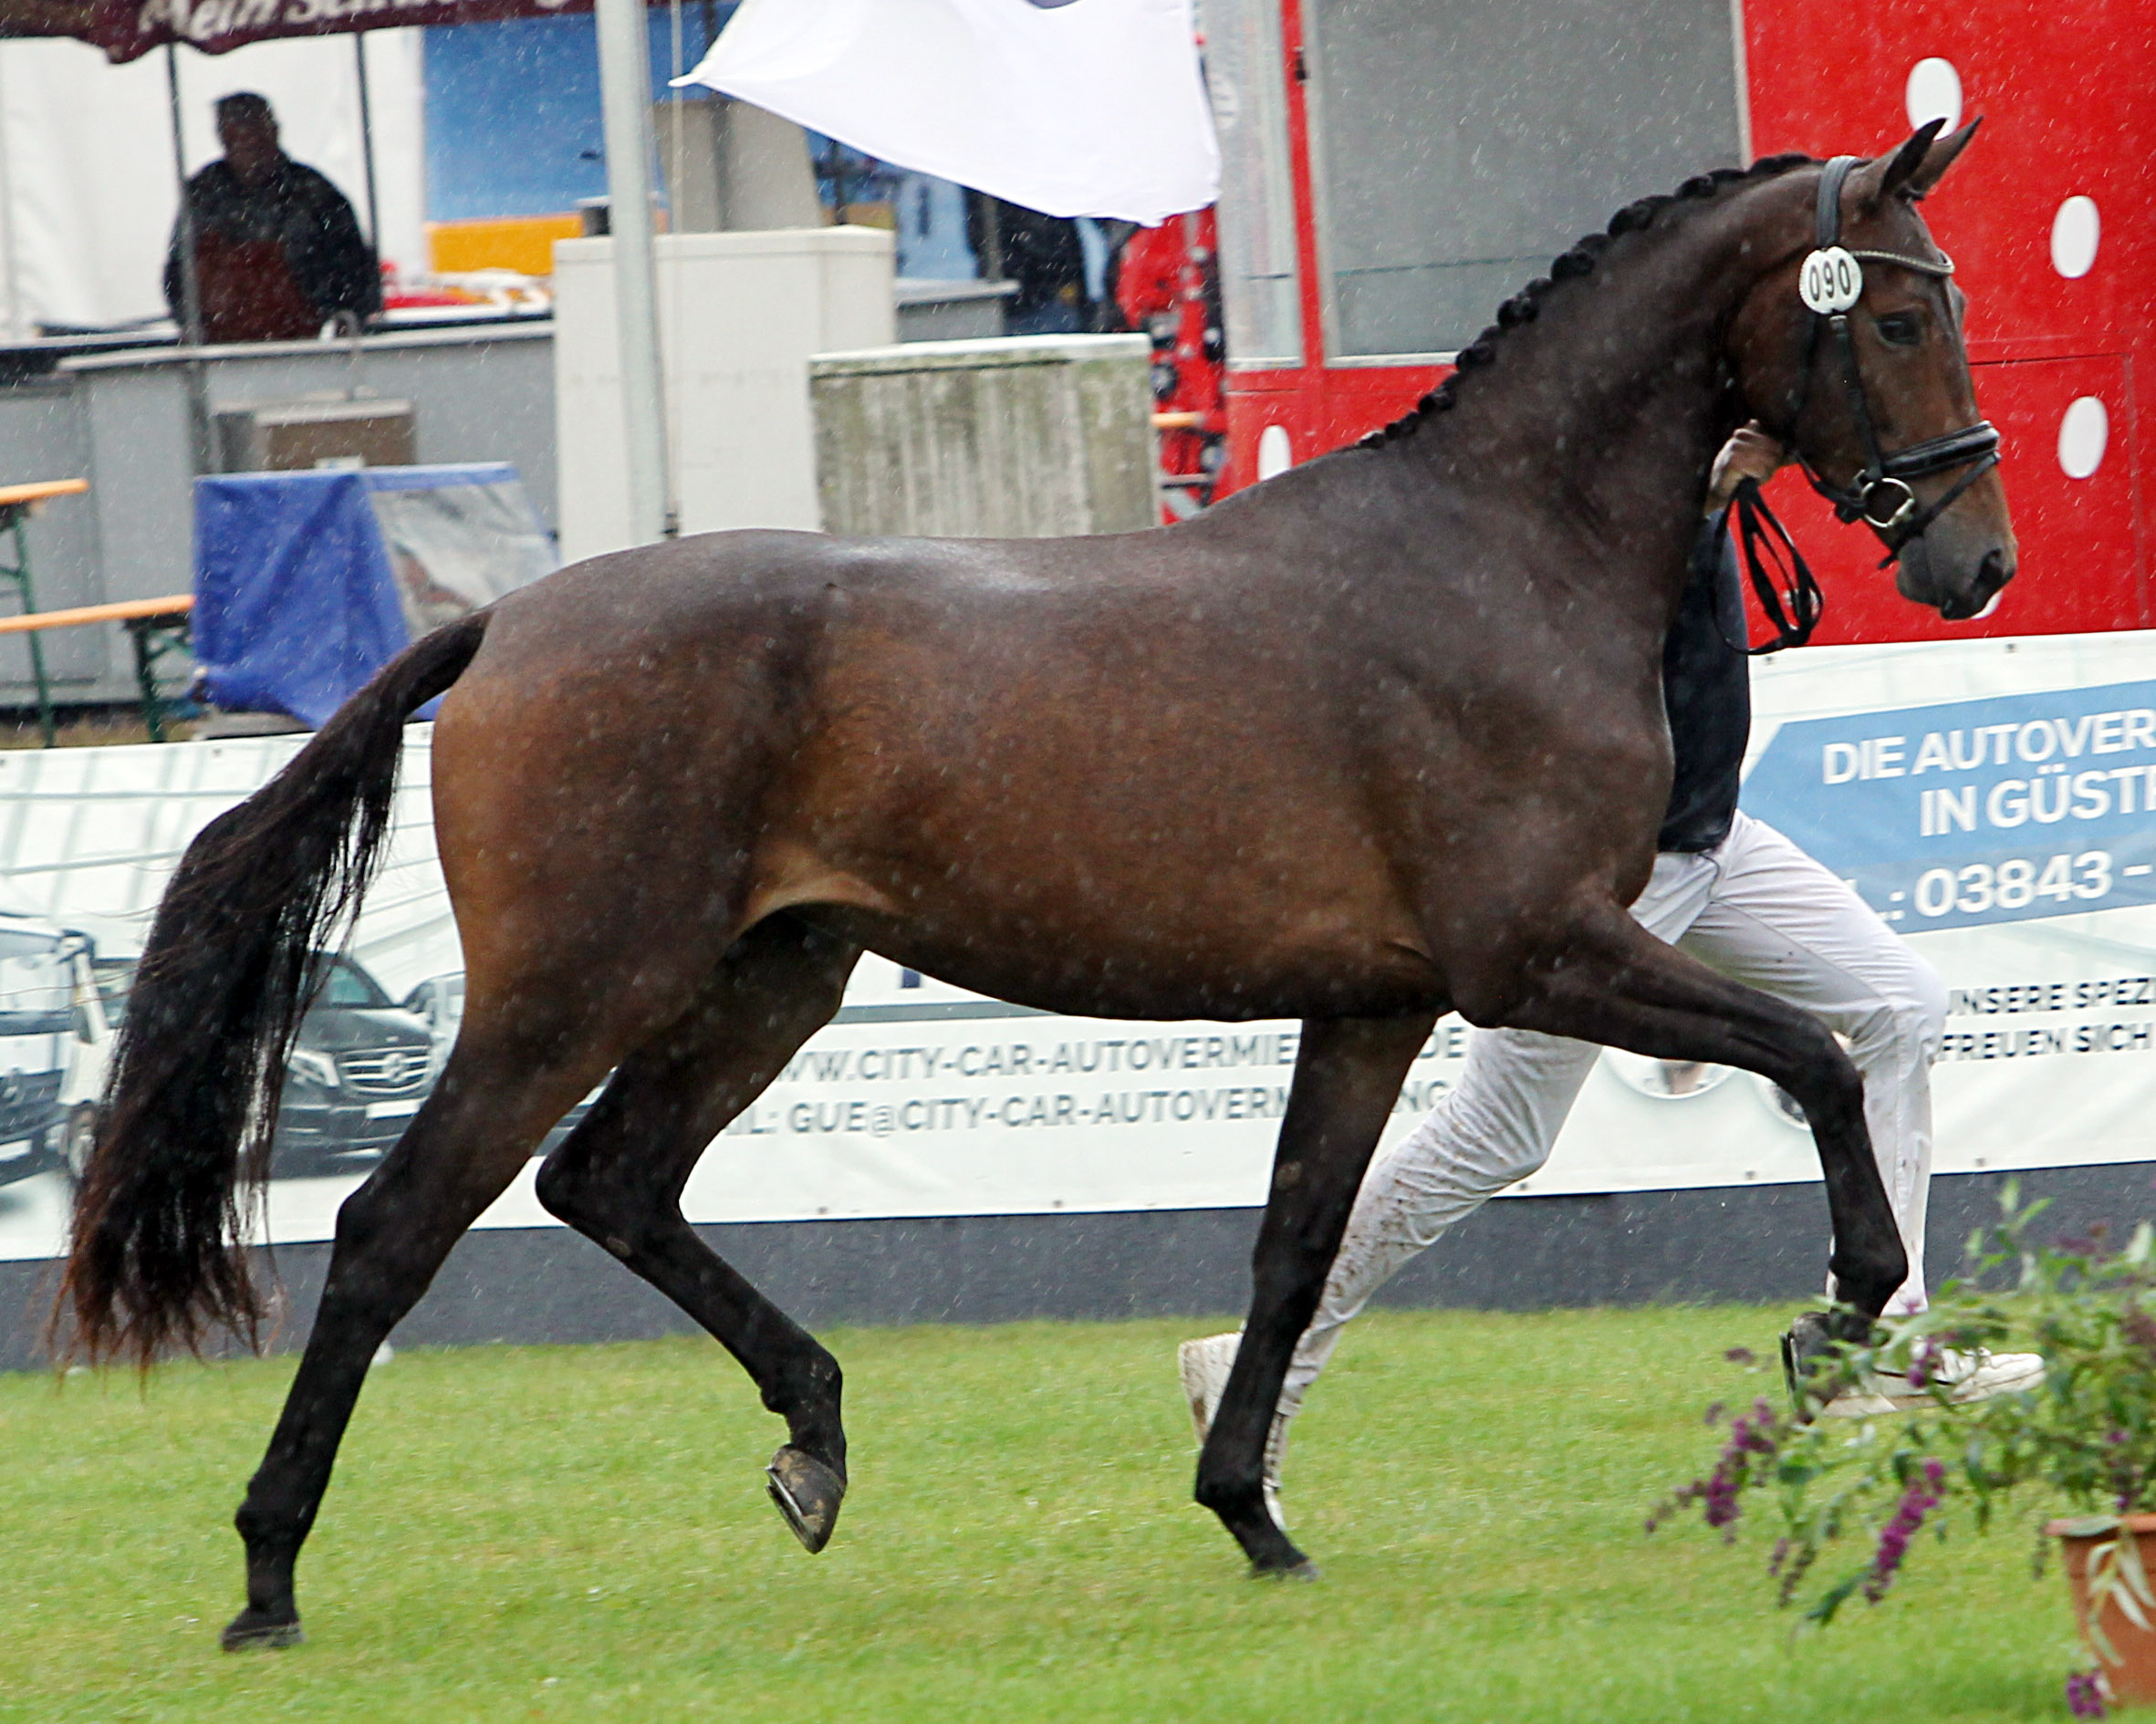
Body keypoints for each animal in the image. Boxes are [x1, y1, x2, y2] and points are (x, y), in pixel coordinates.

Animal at [71, 120, 2017, 1646]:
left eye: (1947, 296)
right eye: (1899, 310)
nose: (1976, 559)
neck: (1494, 560)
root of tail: (504, 624)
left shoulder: (1376, 1003)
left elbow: (1296, 1245)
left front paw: (1249, 1512)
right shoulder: (1534, 953)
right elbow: (1817, 1063)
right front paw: (1832, 1324)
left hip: (769, 980)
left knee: (607, 1184)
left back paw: (813, 1440)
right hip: (572, 992)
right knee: (395, 1229)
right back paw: (267, 1579)